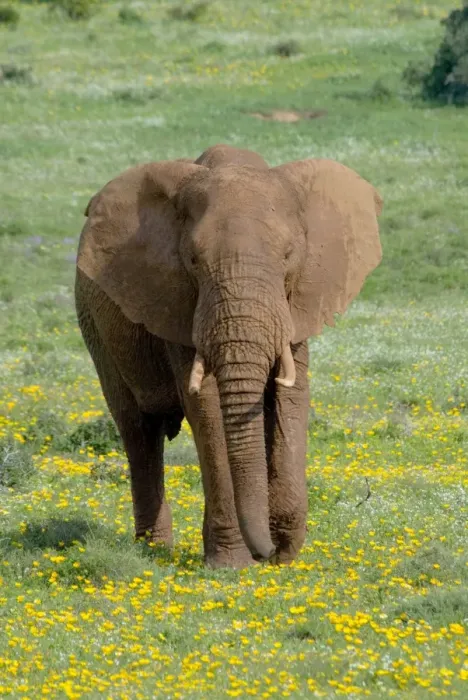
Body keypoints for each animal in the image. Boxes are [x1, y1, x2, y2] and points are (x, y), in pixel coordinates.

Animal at [75, 144, 382, 568]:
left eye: (289, 256)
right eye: (192, 260)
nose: (270, 553)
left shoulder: (300, 302)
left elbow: (291, 395)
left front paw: (281, 546)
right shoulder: (176, 303)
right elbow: (206, 404)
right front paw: (232, 566)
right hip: (96, 328)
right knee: (138, 429)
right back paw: (153, 551)